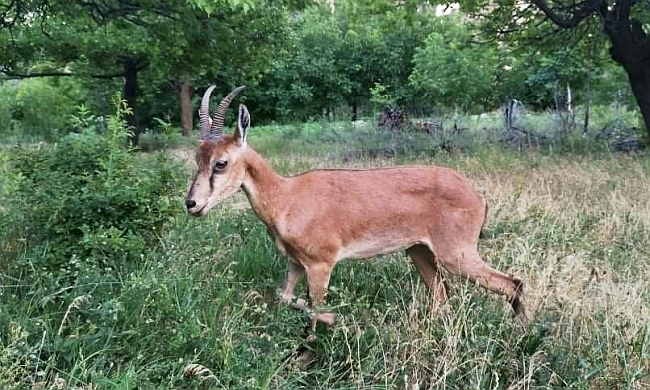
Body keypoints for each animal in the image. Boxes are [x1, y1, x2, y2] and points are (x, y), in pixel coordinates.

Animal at [184, 85, 528, 330]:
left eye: (221, 162)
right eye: (197, 158)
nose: (192, 204)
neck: (287, 197)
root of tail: (479, 197)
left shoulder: (321, 264)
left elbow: (315, 310)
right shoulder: (296, 263)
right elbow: (286, 298)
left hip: (457, 254)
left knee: (512, 283)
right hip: (420, 251)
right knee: (442, 296)